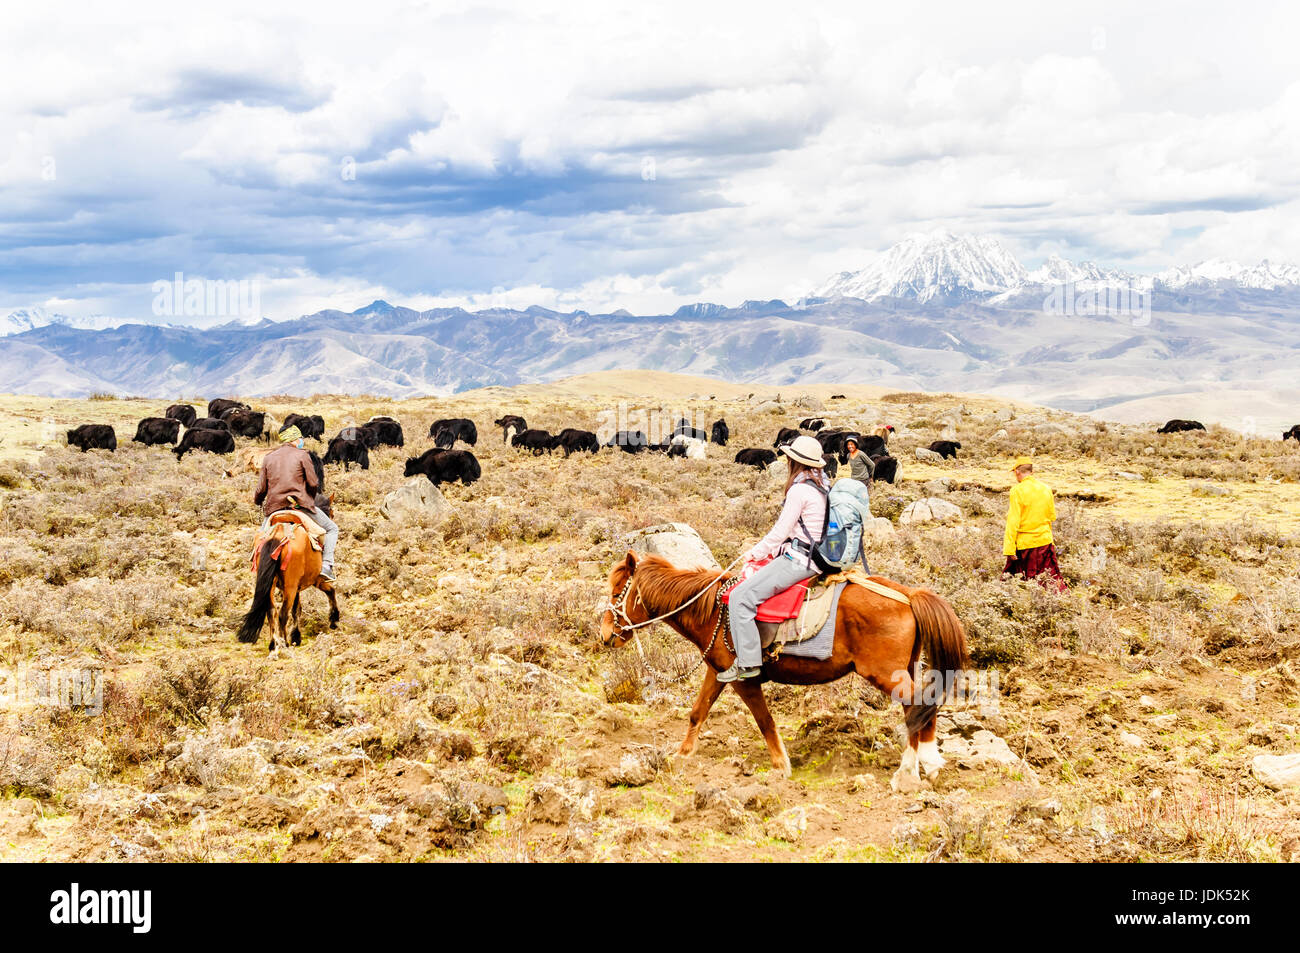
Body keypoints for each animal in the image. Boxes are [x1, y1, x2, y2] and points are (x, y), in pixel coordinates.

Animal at [237, 504, 340, 655]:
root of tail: (278, 533)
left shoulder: (297, 587)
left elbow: (297, 609)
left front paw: (296, 637)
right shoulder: (316, 580)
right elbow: (331, 591)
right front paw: (334, 620)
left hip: (273, 586)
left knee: (271, 611)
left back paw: (273, 644)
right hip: (290, 587)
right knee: (282, 614)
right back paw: (284, 643)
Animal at [598, 551, 967, 790]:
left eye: (617, 592)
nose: (605, 635)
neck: (714, 610)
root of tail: (908, 595)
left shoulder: (744, 681)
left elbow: (765, 721)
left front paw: (781, 766)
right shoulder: (717, 672)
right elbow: (697, 711)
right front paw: (682, 754)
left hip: (886, 674)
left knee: (918, 706)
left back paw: (909, 772)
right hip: (905, 671)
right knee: (922, 707)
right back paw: (928, 765)